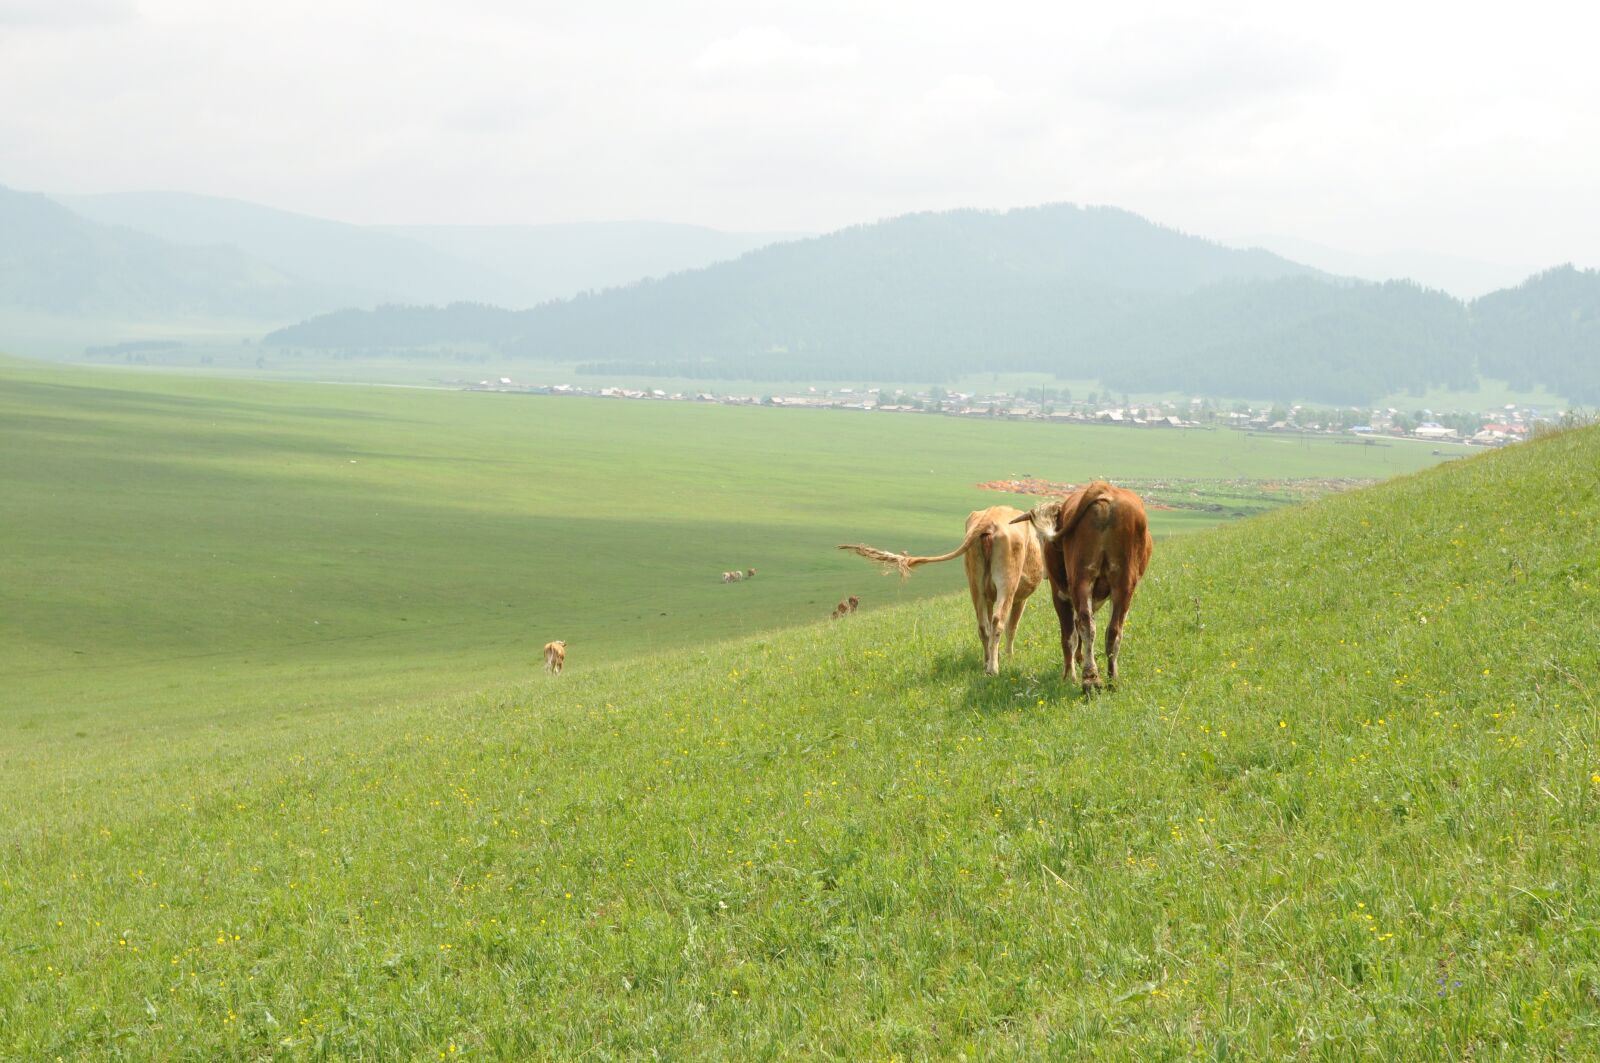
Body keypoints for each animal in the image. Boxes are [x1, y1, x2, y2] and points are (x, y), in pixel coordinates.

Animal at [840, 506, 1043, 675]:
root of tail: (989, 518)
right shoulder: (1020, 598)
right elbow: (1013, 627)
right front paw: (1009, 658)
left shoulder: (989, 597)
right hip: (1007, 582)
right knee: (998, 621)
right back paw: (993, 669)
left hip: (975, 584)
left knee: (983, 625)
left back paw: (986, 663)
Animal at [1011, 481, 1153, 693]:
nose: (1044, 573)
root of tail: (1104, 489)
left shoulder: (1059, 593)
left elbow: (1069, 635)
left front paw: (1069, 674)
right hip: (1121, 583)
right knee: (1110, 629)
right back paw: (1108, 679)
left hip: (1082, 579)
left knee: (1085, 626)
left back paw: (1088, 678)